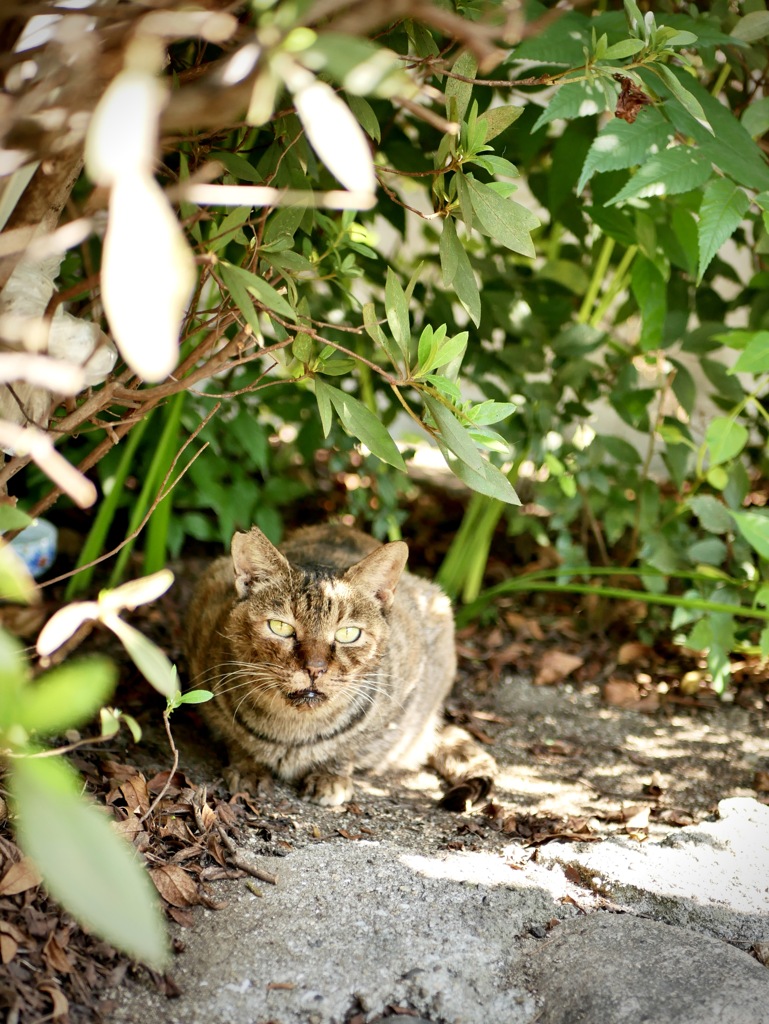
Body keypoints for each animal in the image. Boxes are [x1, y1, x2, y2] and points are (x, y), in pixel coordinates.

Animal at [185, 524, 493, 802]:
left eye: (348, 634)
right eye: (280, 627)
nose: (315, 668)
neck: (291, 732)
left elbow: (351, 744)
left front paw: (331, 774)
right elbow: (234, 736)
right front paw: (247, 765)